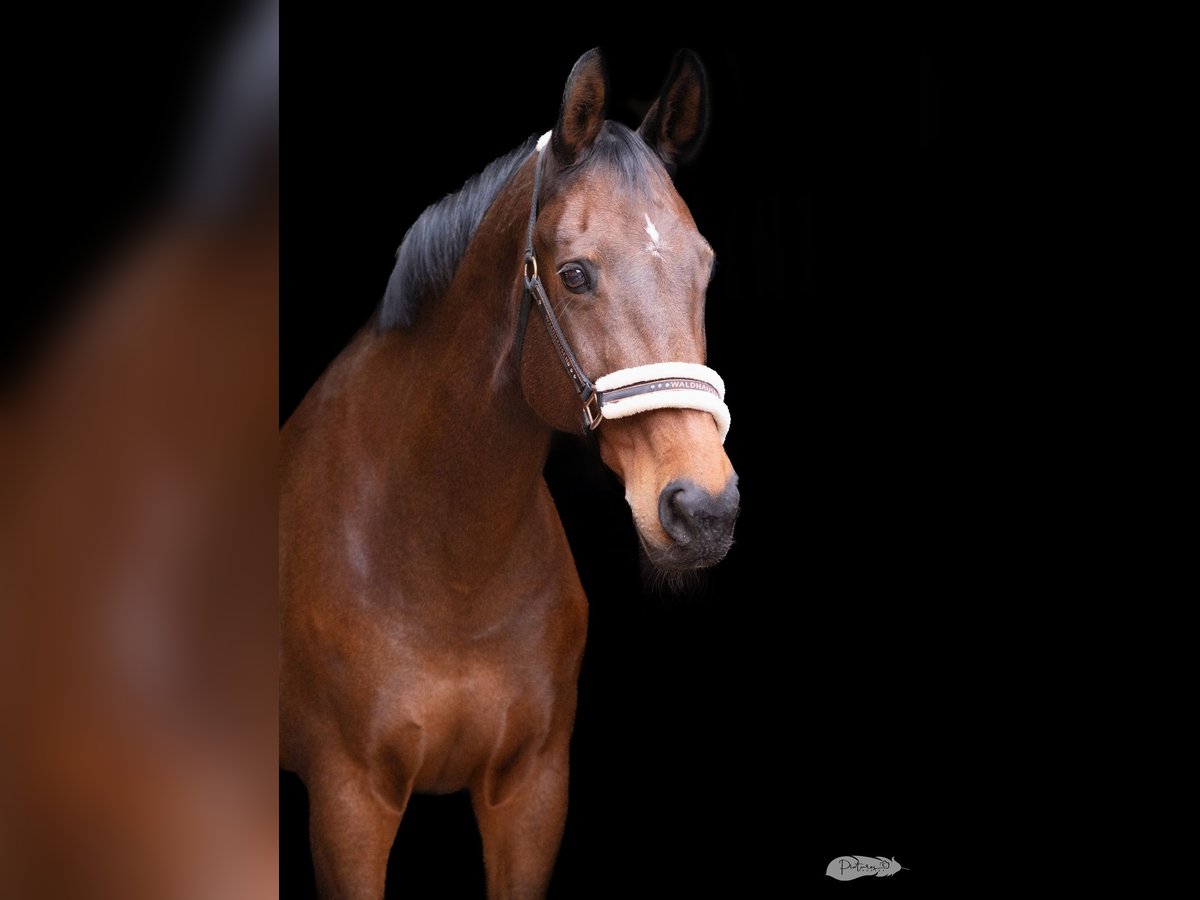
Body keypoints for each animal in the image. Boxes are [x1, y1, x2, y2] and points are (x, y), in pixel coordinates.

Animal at [278, 49, 739, 900]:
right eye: (576, 273)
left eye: (705, 268)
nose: (703, 509)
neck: (447, 565)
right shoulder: (348, 804)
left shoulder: (532, 796)